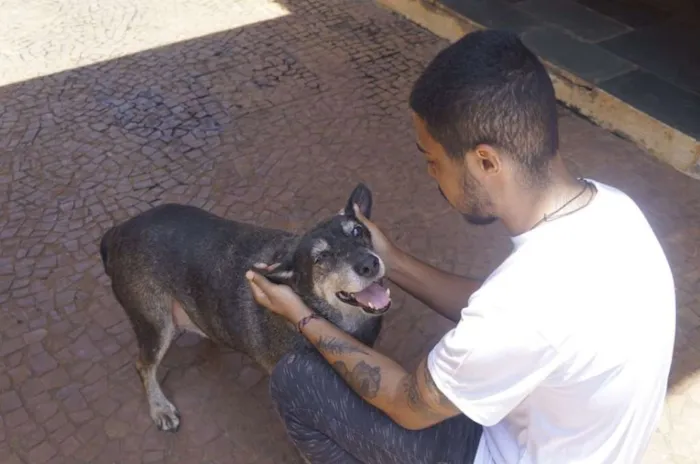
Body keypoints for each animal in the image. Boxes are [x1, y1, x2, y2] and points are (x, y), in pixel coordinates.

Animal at [99, 181, 394, 432]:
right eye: (321, 257)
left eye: (358, 231)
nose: (369, 264)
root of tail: (116, 231)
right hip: (155, 323)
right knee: (143, 365)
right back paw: (160, 408)